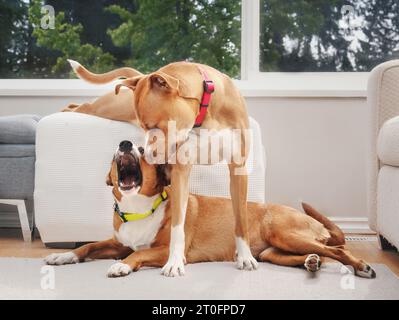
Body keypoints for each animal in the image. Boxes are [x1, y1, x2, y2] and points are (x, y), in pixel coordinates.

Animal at [45, 140, 376, 278]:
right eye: (118, 150)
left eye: (142, 150)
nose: (125, 143)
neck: (139, 208)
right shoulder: (118, 242)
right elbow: (88, 245)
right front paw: (63, 256)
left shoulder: (166, 251)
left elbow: (137, 255)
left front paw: (122, 266)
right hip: (273, 252)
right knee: (318, 255)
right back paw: (312, 263)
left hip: (285, 234)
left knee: (339, 250)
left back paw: (360, 266)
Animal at [63, 61, 256, 276]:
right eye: (142, 127)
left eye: (153, 126)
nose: (144, 152)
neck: (204, 116)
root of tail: (142, 75)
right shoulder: (181, 172)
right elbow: (177, 225)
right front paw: (175, 261)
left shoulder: (238, 170)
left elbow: (241, 220)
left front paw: (245, 257)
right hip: (111, 108)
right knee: (79, 107)